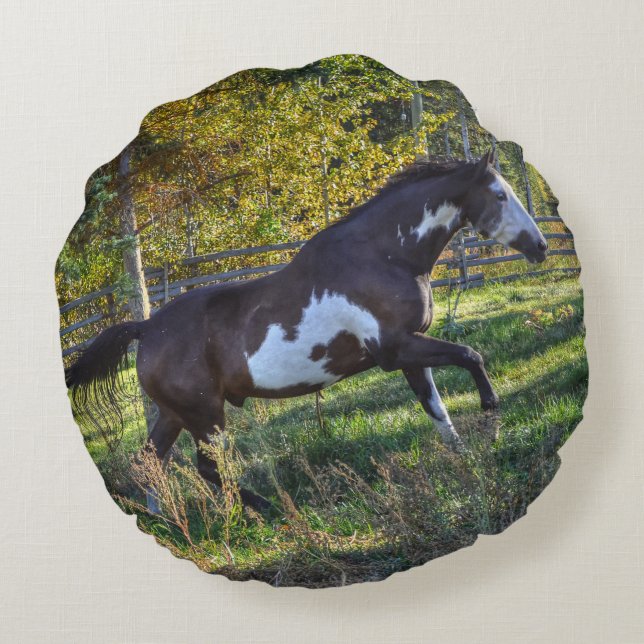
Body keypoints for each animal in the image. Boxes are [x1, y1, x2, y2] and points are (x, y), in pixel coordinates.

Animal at [66, 149, 548, 510]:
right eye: (500, 195)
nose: (541, 246)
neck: (384, 257)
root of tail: (146, 327)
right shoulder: (396, 350)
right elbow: (472, 356)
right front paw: (492, 420)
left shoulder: (410, 355)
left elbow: (439, 412)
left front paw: (469, 461)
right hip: (204, 414)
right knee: (207, 469)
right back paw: (272, 512)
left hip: (175, 414)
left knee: (149, 464)